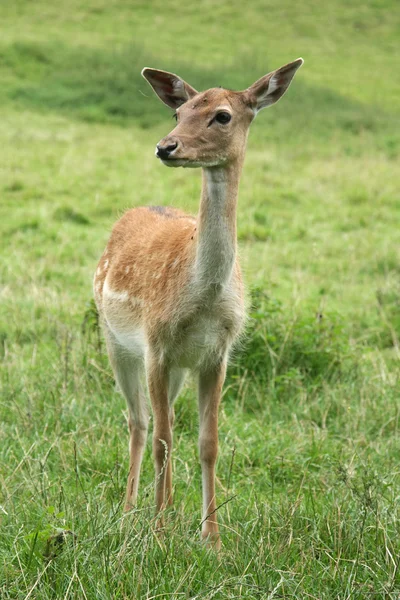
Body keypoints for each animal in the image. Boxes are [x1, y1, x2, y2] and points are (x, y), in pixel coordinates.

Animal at [93, 57, 304, 548]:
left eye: (222, 116)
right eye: (178, 112)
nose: (165, 146)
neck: (203, 297)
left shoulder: (216, 353)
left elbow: (208, 442)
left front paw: (212, 538)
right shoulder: (156, 344)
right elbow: (163, 440)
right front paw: (160, 530)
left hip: (175, 369)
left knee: (158, 418)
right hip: (115, 339)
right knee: (140, 423)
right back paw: (131, 512)